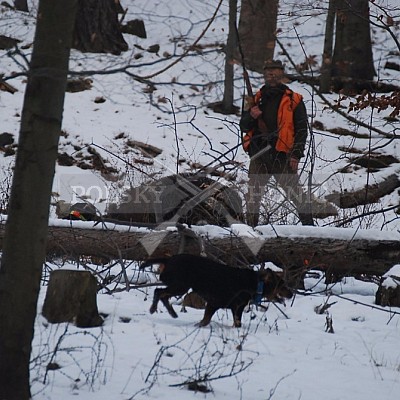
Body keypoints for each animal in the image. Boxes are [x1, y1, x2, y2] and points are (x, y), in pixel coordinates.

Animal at [139, 255, 292, 326]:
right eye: (282, 285)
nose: (291, 294)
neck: (255, 284)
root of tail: (169, 259)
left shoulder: (217, 305)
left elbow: (206, 321)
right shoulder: (229, 306)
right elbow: (235, 324)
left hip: (179, 286)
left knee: (161, 293)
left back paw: (171, 312)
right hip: (180, 285)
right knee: (159, 291)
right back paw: (155, 309)